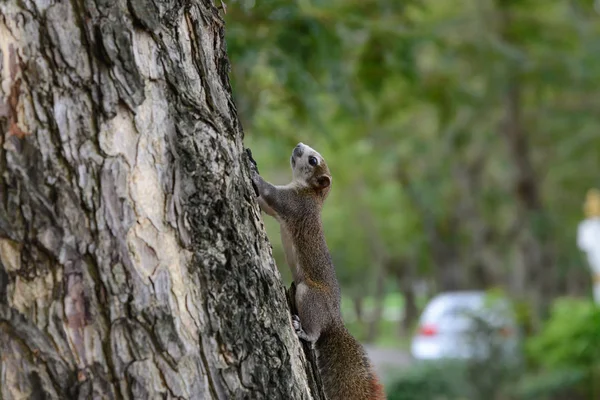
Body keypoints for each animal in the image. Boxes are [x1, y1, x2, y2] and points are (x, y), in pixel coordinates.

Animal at [247, 144, 384, 400]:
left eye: (313, 160)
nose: (298, 145)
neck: (311, 193)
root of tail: (333, 320)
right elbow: (266, 205)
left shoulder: (294, 203)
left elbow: (272, 194)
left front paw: (253, 172)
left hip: (309, 296)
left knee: (313, 330)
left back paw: (304, 331)